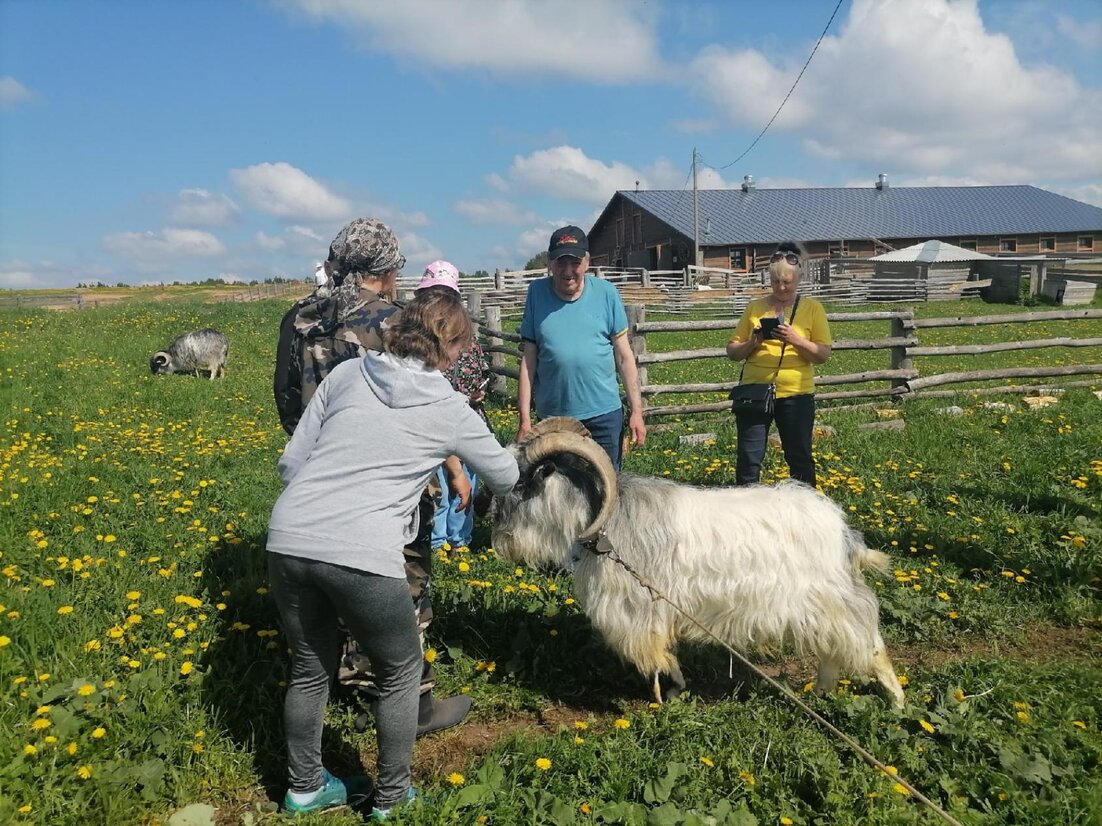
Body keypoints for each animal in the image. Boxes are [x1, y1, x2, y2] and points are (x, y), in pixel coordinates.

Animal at [491, 416, 903, 709]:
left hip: (836, 601)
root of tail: (843, 532)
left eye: (523, 482)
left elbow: (656, 651)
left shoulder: (640, 609)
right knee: (833, 652)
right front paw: (674, 688)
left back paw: (897, 703)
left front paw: (665, 692)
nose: (488, 516)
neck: (606, 524)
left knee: (870, 644)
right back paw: (820, 692)